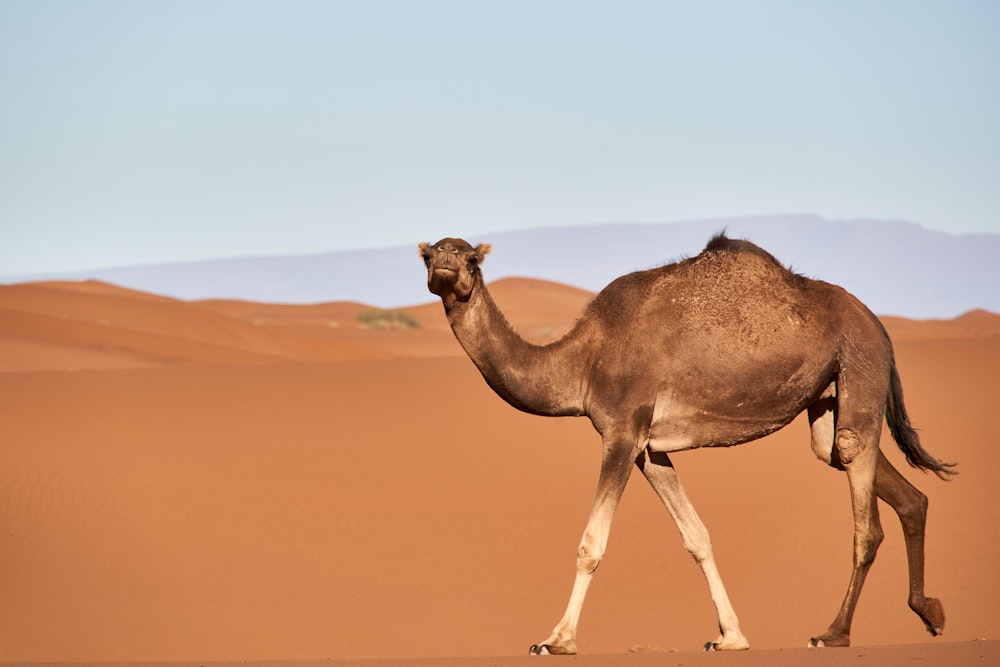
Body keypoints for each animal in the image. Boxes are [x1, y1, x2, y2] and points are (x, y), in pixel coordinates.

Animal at [418, 234, 956, 652]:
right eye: (429, 255)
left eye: (471, 258)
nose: (443, 257)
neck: (583, 361)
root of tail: (877, 322)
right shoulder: (649, 448)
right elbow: (696, 536)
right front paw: (731, 636)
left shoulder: (621, 431)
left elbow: (592, 543)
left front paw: (557, 639)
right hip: (827, 397)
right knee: (872, 472)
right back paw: (930, 611)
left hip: (859, 359)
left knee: (863, 513)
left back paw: (833, 633)